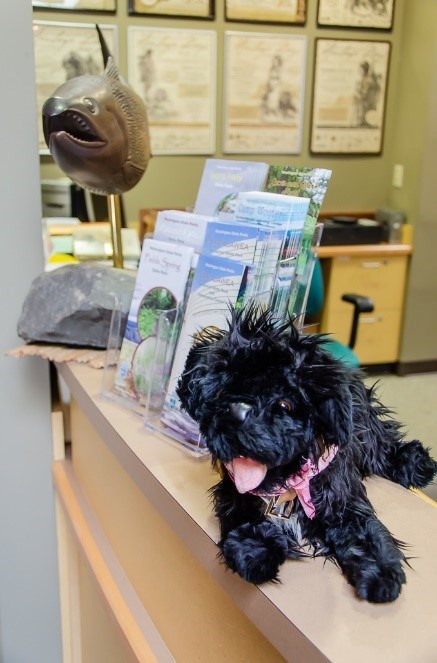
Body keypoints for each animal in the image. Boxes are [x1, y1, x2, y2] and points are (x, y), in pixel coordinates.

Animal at [176, 308, 436, 604]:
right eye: (220, 391)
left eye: (284, 404)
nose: (237, 412)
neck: (288, 485)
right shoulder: (233, 491)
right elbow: (243, 517)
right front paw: (255, 551)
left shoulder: (342, 498)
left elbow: (365, 533)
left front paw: (382, 574)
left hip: (367, 430)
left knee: (383, 445)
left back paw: (415, 463)